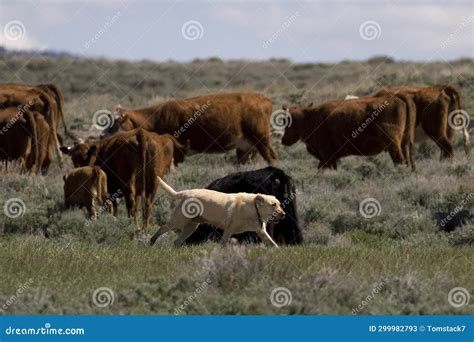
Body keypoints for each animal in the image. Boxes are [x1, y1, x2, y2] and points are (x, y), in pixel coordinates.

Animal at [58, 128, 186, 232]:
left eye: (85, 156)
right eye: (72, 157)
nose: (78, 169)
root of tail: (142, 133)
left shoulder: (110, 190)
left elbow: (113, 207)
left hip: (128, 183)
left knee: (131, 204)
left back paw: (133, 227)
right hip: (153, 182)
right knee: (148, 203)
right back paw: (145, 227)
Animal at [101, 92, 278, 164]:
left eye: (116, 123)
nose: (102, 135)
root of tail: (263, 98)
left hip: (261, 139)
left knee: (271, 157)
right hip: (247, 146)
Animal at [150, 178, 286, 247]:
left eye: (279, 204)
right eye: (273, 205)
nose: (284, 214)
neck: (253, 208)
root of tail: (187, 192)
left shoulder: (261, 232)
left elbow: (273, 244)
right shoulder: (229, 230)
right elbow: (223, 244)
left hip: (191, 226)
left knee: (176, 241)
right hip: (179, 221)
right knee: (162, 228)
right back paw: (151, 242)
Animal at [282, 95, 414, 170]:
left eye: (285, 121)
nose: (283, 140)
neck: (308, 117)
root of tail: (397, 99)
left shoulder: (326, 155)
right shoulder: (329, 157)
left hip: (393, 144)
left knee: (399, 160)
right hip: (404, 144)